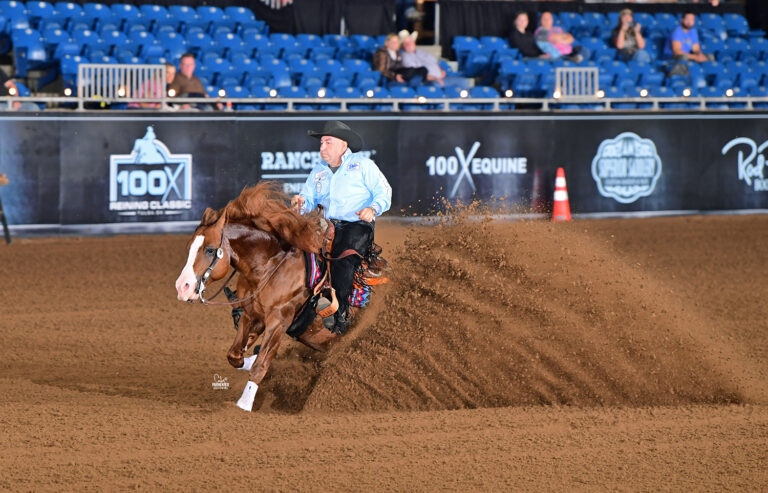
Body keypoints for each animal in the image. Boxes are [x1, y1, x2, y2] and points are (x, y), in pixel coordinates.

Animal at [174, 182, 386, 412]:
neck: (269, 265)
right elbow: (235, 355)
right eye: (189, 248)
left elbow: (260, 365)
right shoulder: (251, 315)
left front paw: (244, 405)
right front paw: (251, 357)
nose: (182, 287)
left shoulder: (279, 321)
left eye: (211, 250)